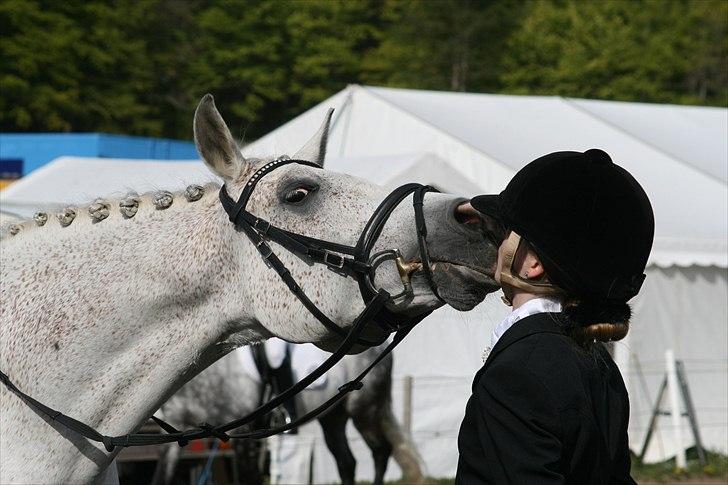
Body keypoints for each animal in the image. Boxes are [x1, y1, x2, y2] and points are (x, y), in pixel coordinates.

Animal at [153, 340, 424, 484]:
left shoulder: (243, 436)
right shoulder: (173, 437)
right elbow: (161, 478)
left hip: (365, 410)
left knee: (381, 451)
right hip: (332, 417)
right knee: (347, 462)